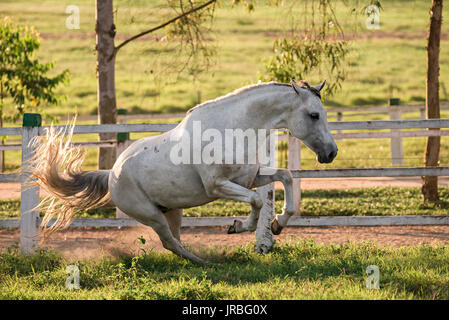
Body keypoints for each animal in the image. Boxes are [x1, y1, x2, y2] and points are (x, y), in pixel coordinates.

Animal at [31, 79, 336, 262]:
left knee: (175, 241)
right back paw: (206, 263)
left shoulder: (249, 178)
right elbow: (257, 201)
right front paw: (237, 226)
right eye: (313, 115)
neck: (231, 129)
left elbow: (285, 177)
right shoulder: (219, 186)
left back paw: (202, 261)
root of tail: (112, 174)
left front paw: (278, 224)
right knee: (170, 243)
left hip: (172, 211)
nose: (331, 153)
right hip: (151, 216)